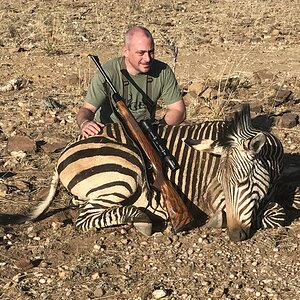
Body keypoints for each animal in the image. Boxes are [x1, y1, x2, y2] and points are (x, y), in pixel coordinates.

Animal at [1, 104, 298, 240]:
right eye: (221, 183)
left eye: (244, 182)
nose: (235, 235)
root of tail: (68, 148)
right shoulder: (214, 198)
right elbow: (275, 213)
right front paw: (219, 220)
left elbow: (286, 202)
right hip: (126, 172)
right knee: (85, 219)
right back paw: (141, 218)